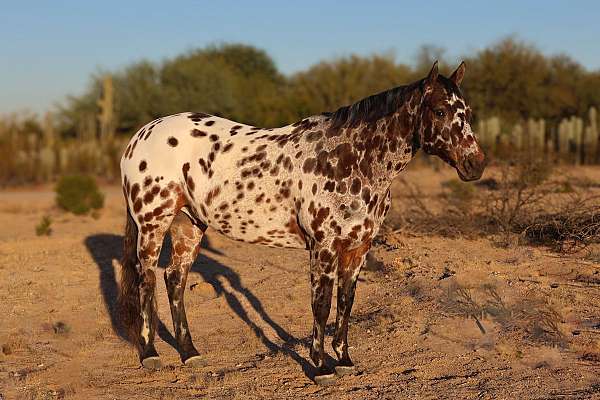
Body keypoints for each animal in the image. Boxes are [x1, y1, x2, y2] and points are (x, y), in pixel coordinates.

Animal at [117, 61, 488, 382]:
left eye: (467, 113)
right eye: (439, 111)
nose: (476, 165)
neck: (349, 160)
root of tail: (140, 136)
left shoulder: (358, 248)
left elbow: (346, 302)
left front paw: (344, 360)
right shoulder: (323, 248)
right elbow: (321, 305)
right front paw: (321, 367)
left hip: (188, 224)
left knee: (174, 278)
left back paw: (190, 352)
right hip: (153, 224)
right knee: (146, 279)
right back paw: (150, 354)